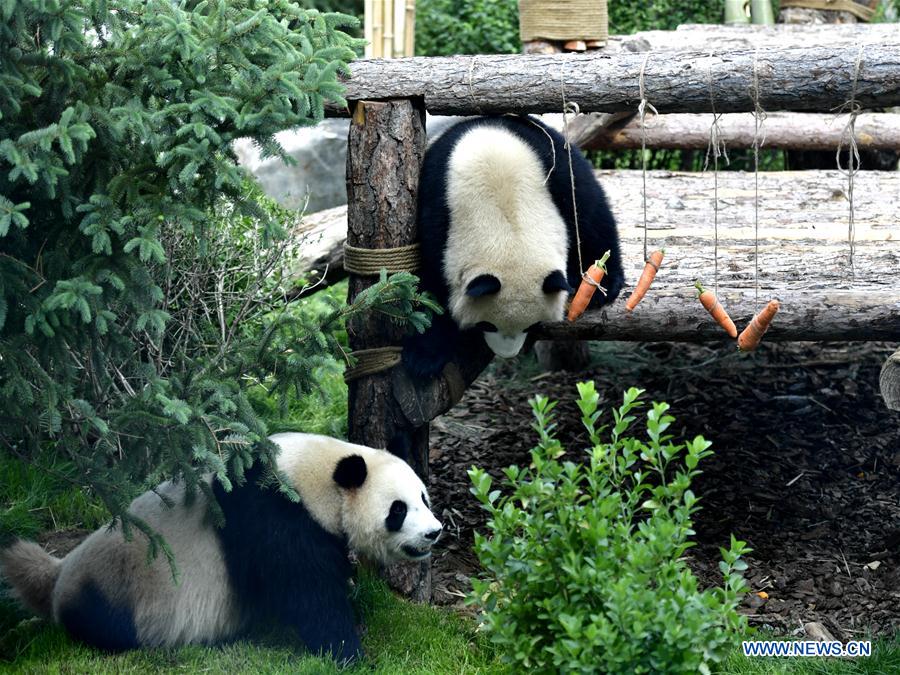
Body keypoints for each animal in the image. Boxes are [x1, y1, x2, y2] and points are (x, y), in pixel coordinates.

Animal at [0, 436, 442, 664]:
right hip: (116, 587)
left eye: (425, 497)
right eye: (399, 509)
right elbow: (305, 590)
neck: (310, 472)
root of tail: (59, 572)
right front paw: (348, 651)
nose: (434, 533)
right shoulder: (273, 513)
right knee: (104, 625)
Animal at [404, 114, 624, 378]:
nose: (508, 354)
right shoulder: (437, 205)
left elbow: (587, 209)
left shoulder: (549, 161)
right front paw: (424, 357)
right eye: (487, 325)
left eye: (533, 325)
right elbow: (430, 286)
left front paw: (601, 284)